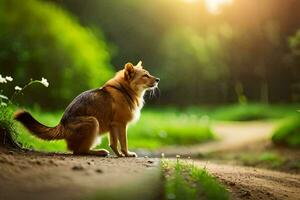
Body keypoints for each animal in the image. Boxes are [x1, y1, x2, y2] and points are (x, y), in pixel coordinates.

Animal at [14, 61, 159, 157]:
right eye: (145, 75)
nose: (158, 79)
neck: (123, 90)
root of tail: (62, 125)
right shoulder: (121, 124)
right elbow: (123, 143)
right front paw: (127, 154)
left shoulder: (113, 125)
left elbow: (113, 143)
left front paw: (119, 155)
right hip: (93, 121)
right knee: (78, 151)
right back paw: (98, 152)